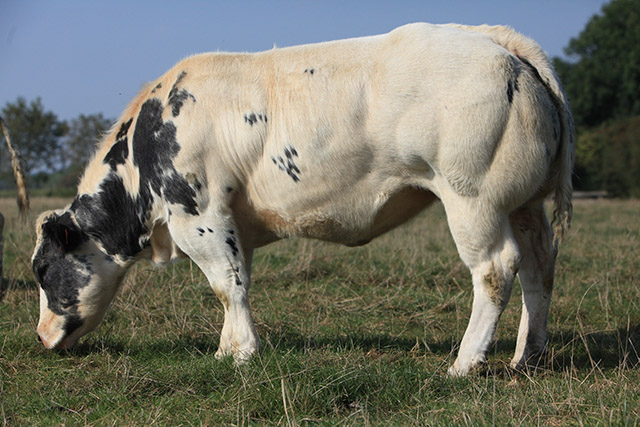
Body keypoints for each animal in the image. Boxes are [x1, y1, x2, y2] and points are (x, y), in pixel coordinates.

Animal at [31, 24, 576, 378]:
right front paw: (226, 350)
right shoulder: (231, 223)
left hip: (473, 199)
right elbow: (235, 285)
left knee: (495, 269)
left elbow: (227, 286)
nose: (38, 337)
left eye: (42, 269)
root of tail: (496, 39)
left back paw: (465, 363)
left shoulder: (199, 216)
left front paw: (242, 354)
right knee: (539, 267)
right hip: (523, 204)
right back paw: (527, 356)